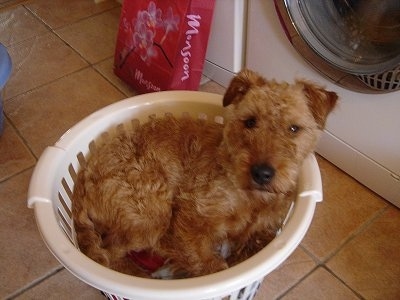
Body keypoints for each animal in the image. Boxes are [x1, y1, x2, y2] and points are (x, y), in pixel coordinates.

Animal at [72, 69, 338, 278]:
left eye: (294, 128)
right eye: (250, 121)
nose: (262, 173)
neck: (249, 197)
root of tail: (82, 181)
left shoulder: (262, 231)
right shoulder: (191, 220)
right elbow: (209, 263)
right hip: (151, 215)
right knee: (112, 254)